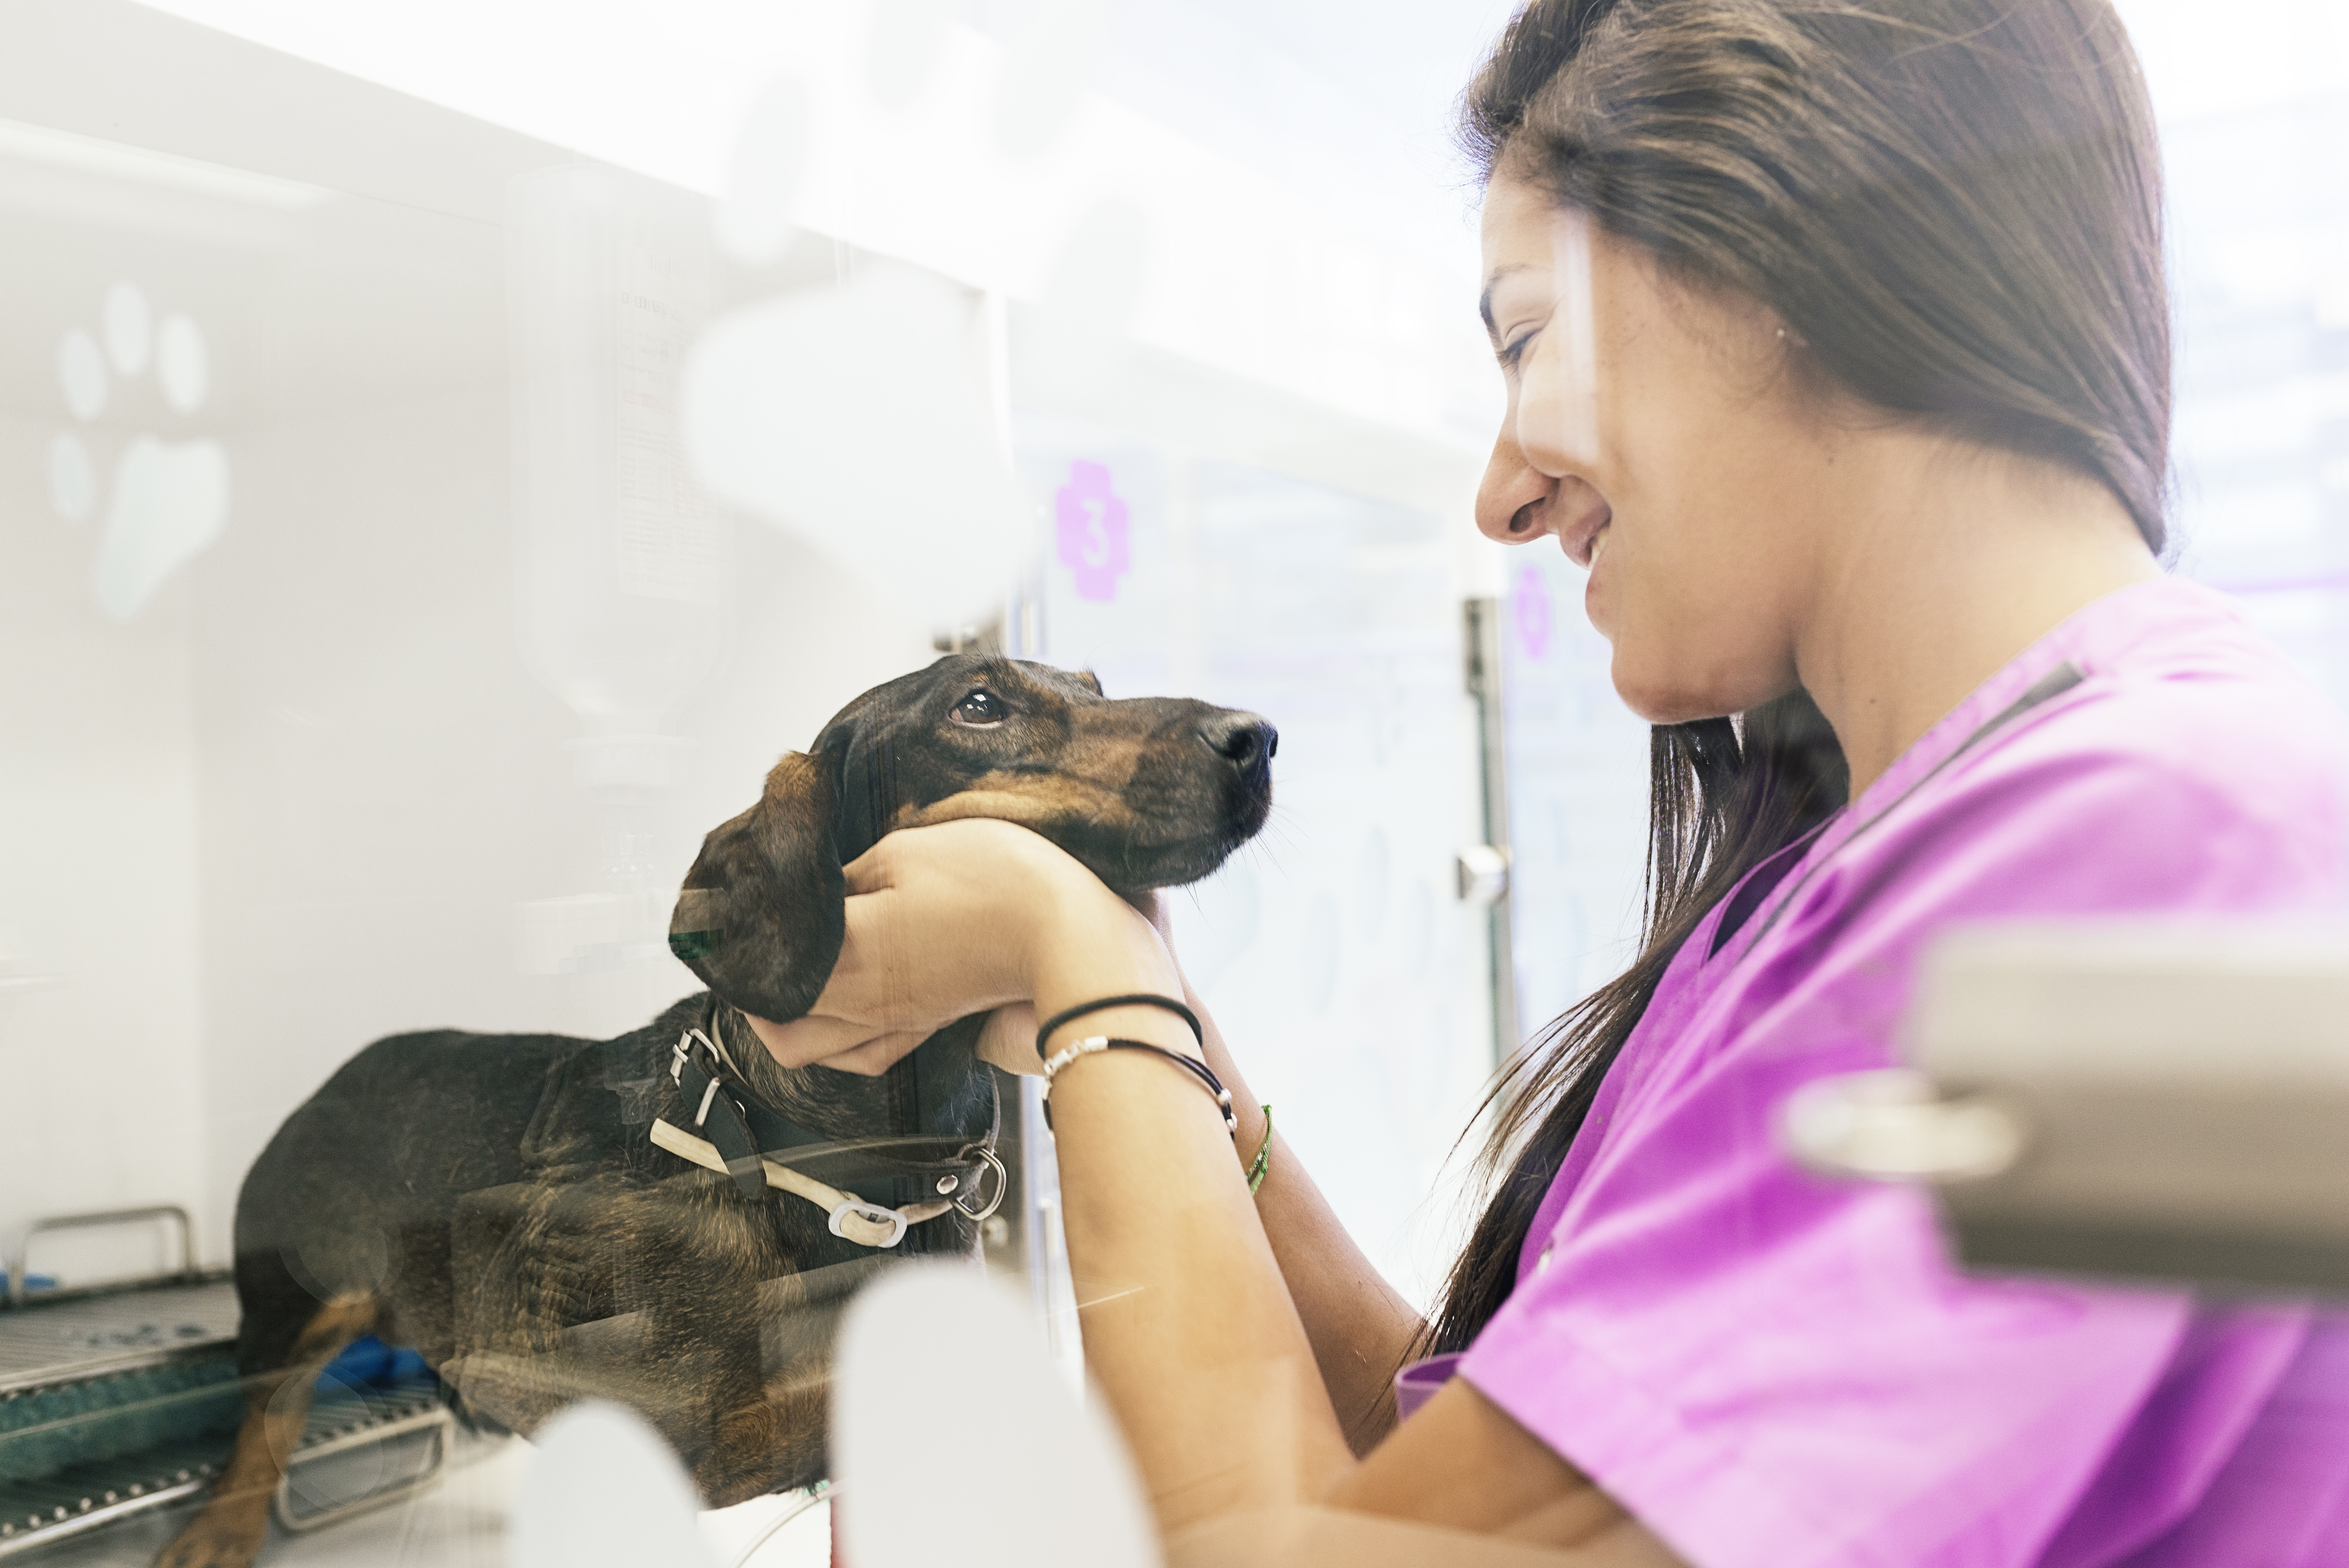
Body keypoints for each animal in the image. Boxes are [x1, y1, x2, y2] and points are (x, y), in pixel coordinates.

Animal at [161, 657, 1287, 1568]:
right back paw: (215, 1533)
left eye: (1095, 686)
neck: (825, 1167)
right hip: (294, 1300)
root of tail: (338, 1073)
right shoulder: (642, 1421)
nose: (1258, 738)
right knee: (261, 1425)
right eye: (979, 705)